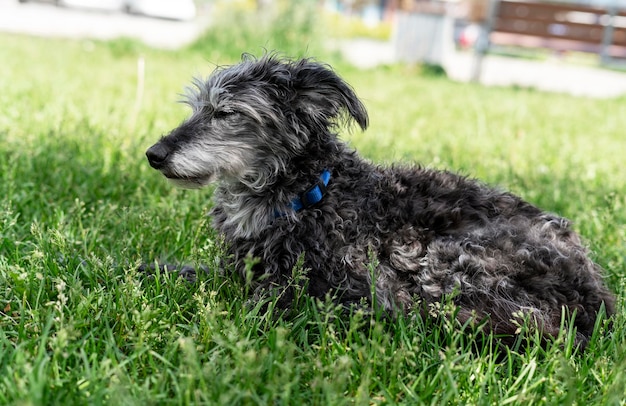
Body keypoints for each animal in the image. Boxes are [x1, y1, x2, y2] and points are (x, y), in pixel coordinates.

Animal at [147, 54, 616, 348]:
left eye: (226, 113)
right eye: (196, 107)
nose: (154, 154)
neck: (310, 196)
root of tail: (596, 303)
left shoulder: (314, 281)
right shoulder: (239, 267)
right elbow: (187, 271)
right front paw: (139, 268)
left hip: (441, 258)